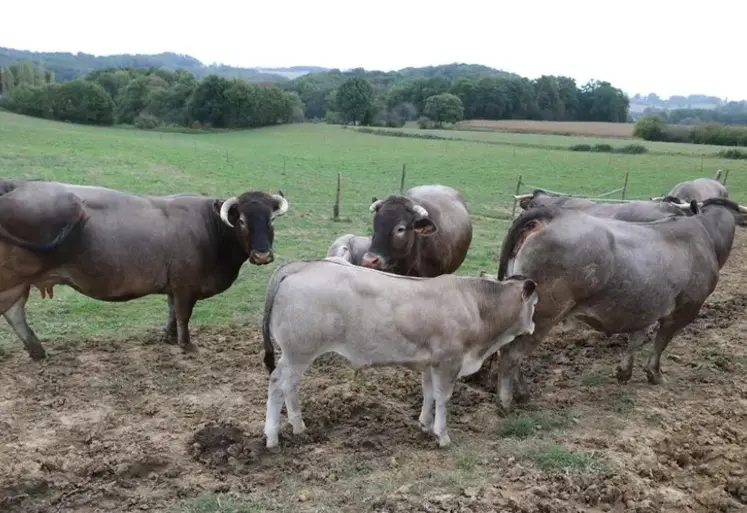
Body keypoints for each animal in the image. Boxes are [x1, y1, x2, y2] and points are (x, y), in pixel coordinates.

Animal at [0, 179, 289, 360]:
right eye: (241, 221)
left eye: (272, 219)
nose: (262, 255)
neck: (211, 227)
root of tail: (19, 185)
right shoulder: (185, 285)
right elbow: (183, 315)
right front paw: (186, 345)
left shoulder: (174, 286)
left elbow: (172, 311)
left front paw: (169, 337)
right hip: (11, 278)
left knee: (15, 313)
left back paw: (37, 350)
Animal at [260, 258, 538, 449]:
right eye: (535, 304)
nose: (533, 326)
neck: (477, 307)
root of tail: (302, 266)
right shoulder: (449, 361)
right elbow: (443, 397)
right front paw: (443, 435)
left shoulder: (430, 363)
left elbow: (429, 393)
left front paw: (425, 424)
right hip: (298, 352)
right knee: (277, 384)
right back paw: (272, 437)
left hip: (295, 354)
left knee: (290, 386)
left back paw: (298, 426)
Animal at [490, 197, 743, 415]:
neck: (704, 234)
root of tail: (552, 214)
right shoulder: (685, 309)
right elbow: (660, 342)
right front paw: (655, 374)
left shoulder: (647, 305)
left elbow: (637, 338)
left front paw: (624, 372)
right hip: (543, 314)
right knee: (512, 353)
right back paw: (508, 401)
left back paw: (522, 393)